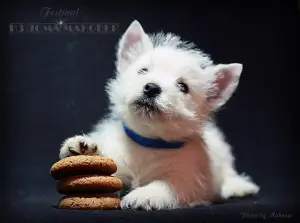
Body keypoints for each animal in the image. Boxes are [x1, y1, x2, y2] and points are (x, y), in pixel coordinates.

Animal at [59, 20, 260, 210]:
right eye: (143, 70)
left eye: (183, 86)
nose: (152, 88)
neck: (147, 143)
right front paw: (85, 148)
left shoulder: (186, 177)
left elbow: (166, 184)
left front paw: (144, 195)